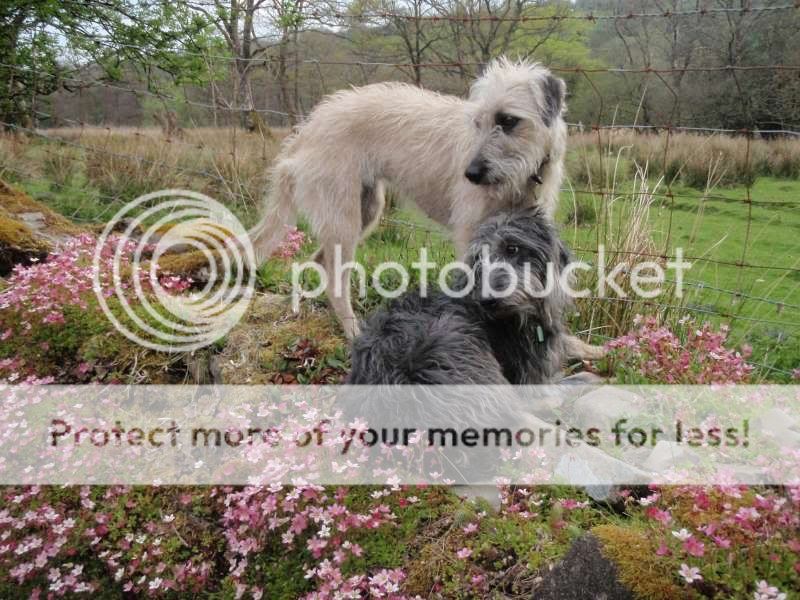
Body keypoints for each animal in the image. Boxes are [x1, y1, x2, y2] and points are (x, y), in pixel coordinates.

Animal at [253, 56, 604, 358]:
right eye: (477, 122)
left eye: (507, 120)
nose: (470, 174)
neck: (522, 178)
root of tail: (308, 127)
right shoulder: (471, 238)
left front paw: (578, 346)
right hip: (344, 217)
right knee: (336, 278)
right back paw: (353, 331)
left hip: (366, 209)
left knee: (319, 263)